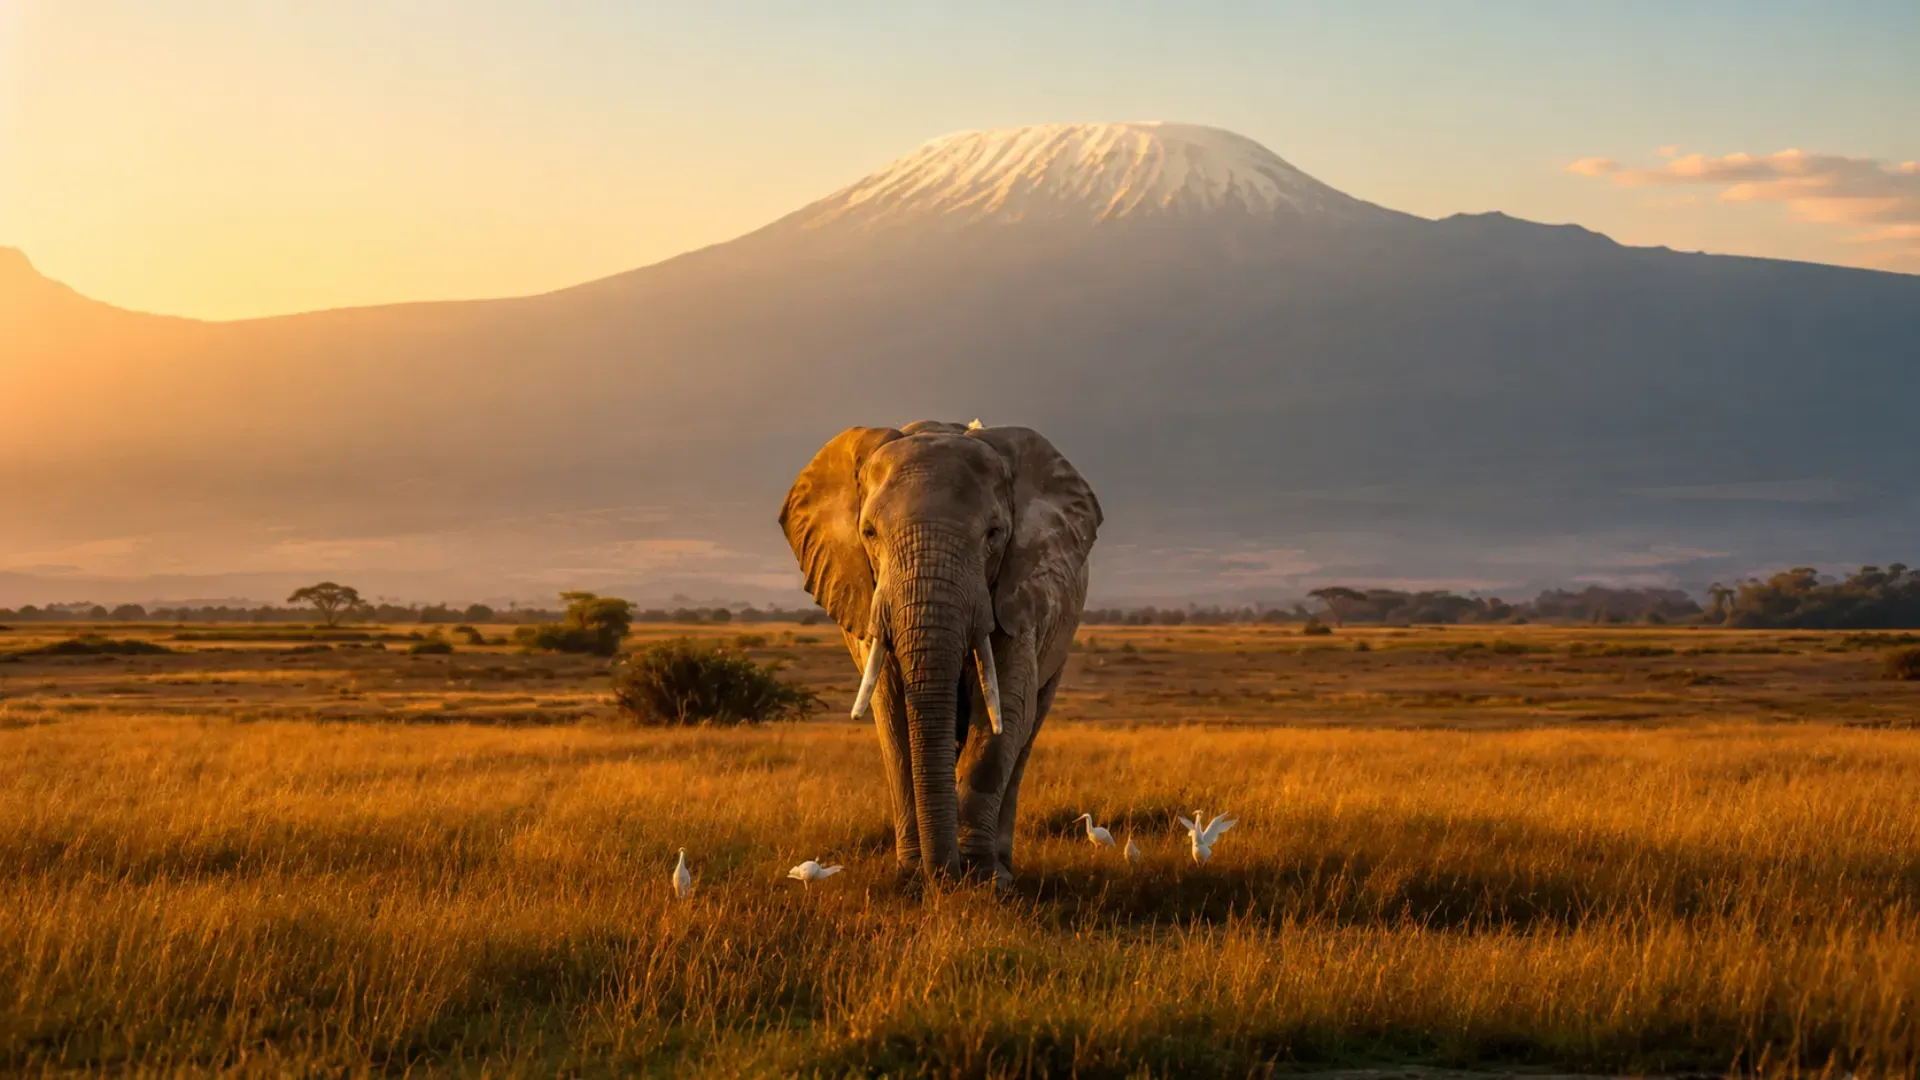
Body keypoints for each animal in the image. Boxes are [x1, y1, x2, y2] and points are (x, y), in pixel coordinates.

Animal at [779, 421, 1101, 886]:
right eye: (869, 533)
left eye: (994, 534)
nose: (945, 876)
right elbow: (893, 719)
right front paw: (914, 877)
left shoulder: (1016, 595)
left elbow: (1005, 712)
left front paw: (984, 882)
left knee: (1026, 733)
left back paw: (1001, 868)